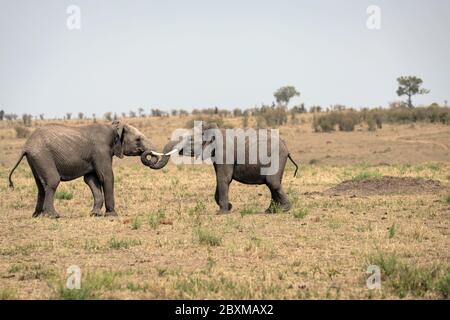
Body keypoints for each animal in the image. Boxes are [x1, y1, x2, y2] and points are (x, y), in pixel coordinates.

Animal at [8, 121, 163, 219]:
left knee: (40, 186)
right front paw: (112, 215)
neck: (113, 127)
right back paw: (53, 216)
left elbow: (91, 180)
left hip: (35, 159)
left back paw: (37, 215)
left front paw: (94, 214)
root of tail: (25, 146)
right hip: (42, 155)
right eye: (138, 139)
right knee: (52, 181)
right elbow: (106, 176)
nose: (148, 154)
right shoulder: (101, 150)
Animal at [142, 121, 298, 214]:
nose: (149, 154)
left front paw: (222, 212)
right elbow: (221, 179)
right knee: (272, 184)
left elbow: (223, 178)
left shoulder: (224, 153)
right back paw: (271, 211)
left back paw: (283, 210)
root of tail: (287, 148)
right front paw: (229, 207)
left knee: (272, 182)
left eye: (191, 140)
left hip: (277, 158)